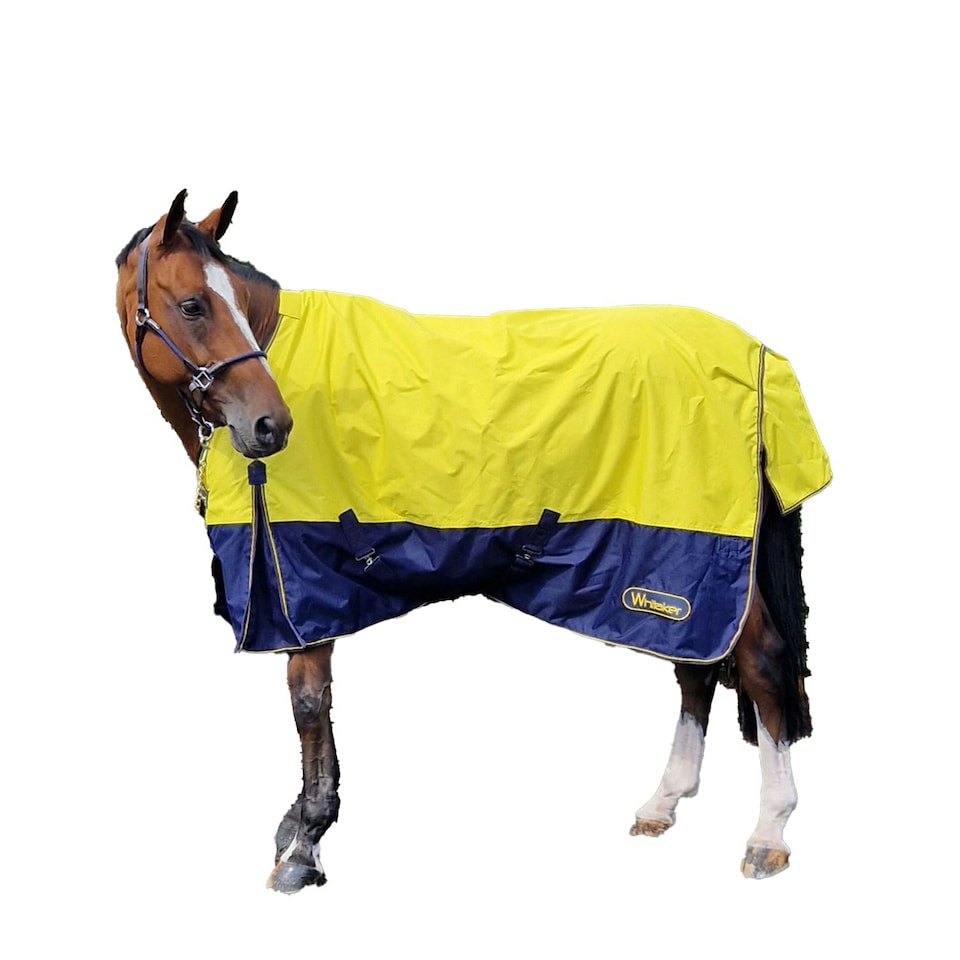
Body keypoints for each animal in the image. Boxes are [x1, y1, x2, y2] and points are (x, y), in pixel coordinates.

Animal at [115, 189, 831, 893]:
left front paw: (306, 846)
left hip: (697, 555)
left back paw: (769, 834)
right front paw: (296, 826)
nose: (271, 424)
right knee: (697, 666)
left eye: (231, 300)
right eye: (193, 304)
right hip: (676, 574)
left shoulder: (307, 589)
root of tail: (758, 355)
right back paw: (663, 802)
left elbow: (310, 707)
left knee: (760, 662)